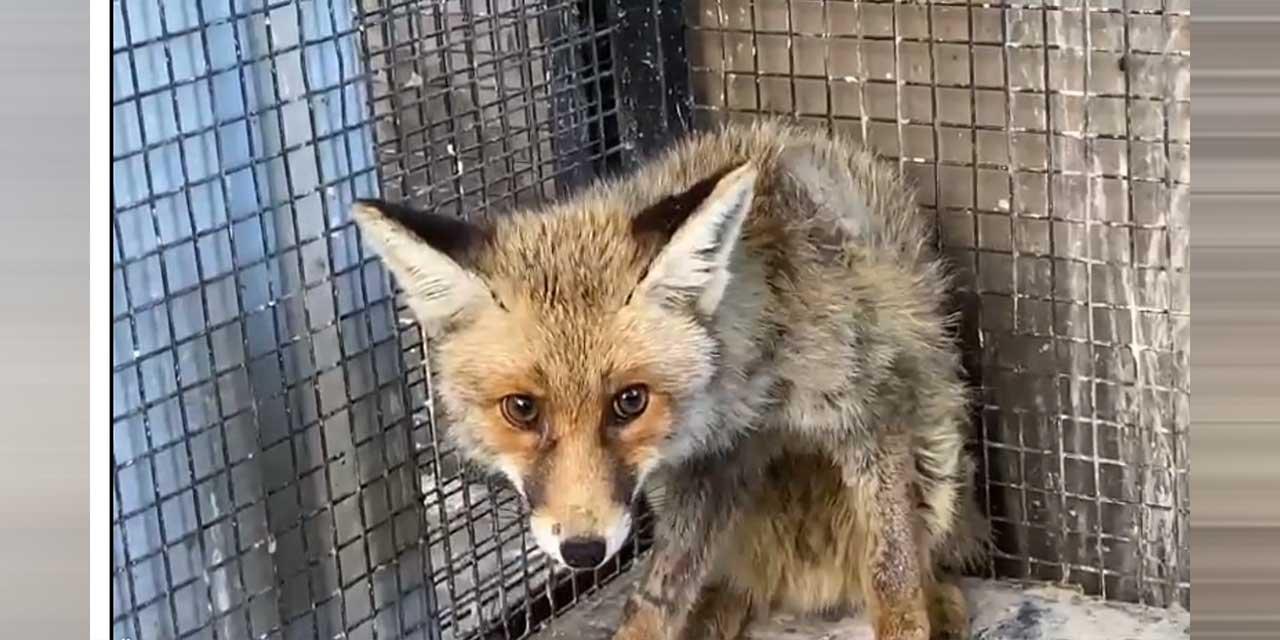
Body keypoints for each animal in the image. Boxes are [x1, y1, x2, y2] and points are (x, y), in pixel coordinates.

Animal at [350, 120, 988, 640]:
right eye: (522, 409)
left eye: (630, 402)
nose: (582, 551)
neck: (752, 389)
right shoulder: (705, 466)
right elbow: (657, 595)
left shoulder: (871, 410)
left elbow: (892, 570)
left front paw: (909, 621)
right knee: (727, 580)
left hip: (938, 454)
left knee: (916, 554)